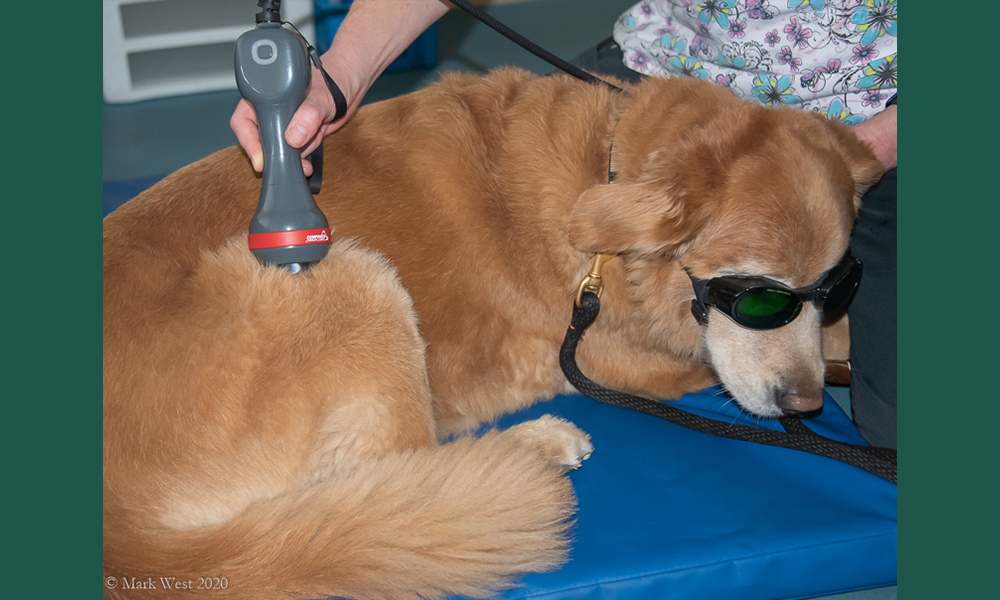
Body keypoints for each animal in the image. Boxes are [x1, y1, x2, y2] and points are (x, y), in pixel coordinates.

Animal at [103, 68, 884, 596]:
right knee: (413, 482)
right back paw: (536, 445)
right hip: (353, 276)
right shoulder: (624, 361)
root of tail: (120, 535)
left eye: (836, 283)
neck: (607, 168)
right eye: (759, 298)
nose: (806, 406)